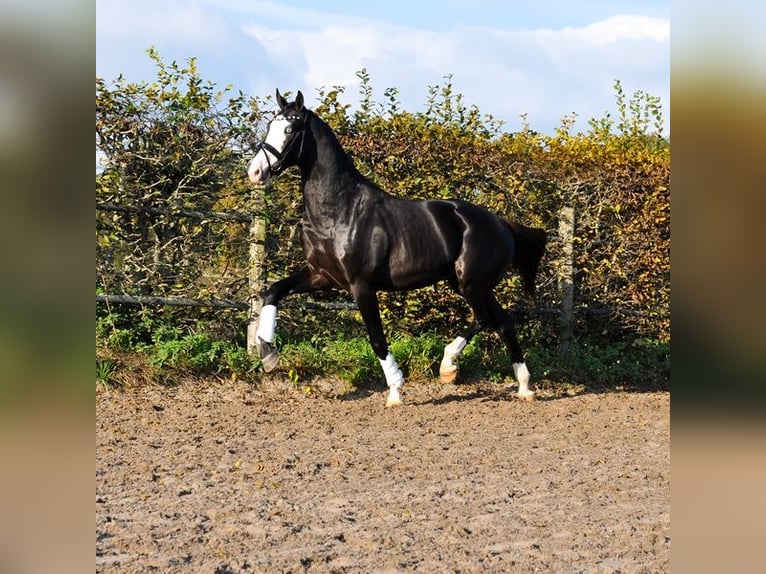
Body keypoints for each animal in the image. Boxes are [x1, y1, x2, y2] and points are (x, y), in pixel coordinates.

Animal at [248, 90, 544, 408]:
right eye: (271, 125)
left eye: (290, 129)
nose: (255, 171)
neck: (340, 211)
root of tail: (502, 223)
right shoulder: (321, 276)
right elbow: (273, 291)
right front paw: (268, 354)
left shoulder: (361, 286)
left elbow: (377, 338)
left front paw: (395, 391)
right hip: (471, 284)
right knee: (504, 322)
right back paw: (524, 387)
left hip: (471, 284)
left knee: (485, 319)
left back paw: (448, 367)